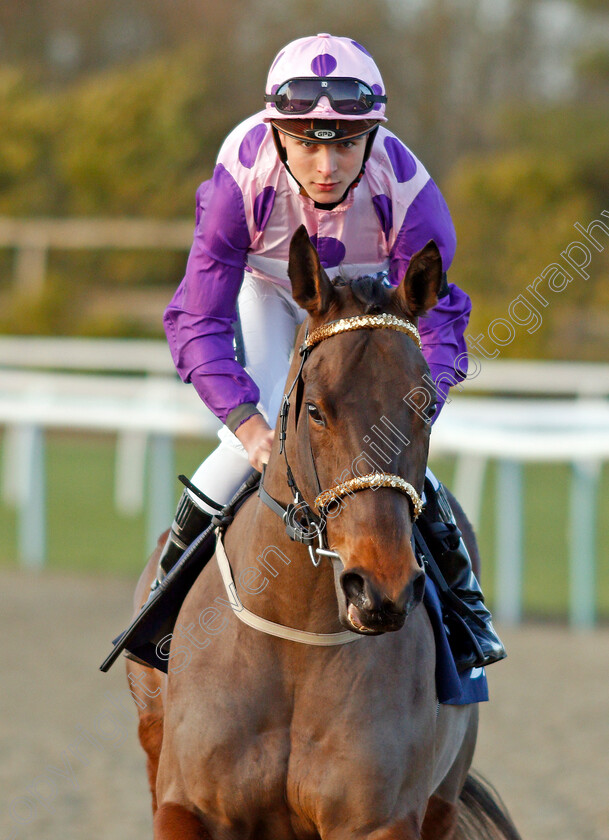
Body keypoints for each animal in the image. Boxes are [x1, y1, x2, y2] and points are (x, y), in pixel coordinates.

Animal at [123, 225, 516, 840]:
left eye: (425, 407)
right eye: (315, 409)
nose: (380, 587)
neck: (295, 644)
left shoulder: (379, 821)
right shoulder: (185, 806)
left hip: (445, 796)